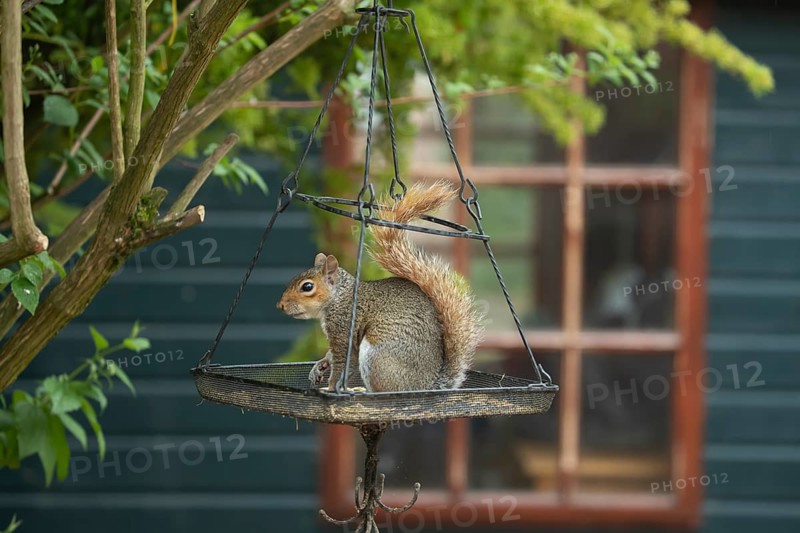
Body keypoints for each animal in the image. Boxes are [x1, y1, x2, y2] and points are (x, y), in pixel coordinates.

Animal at [276, 181, 483, 393]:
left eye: (307, 287)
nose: (280, 306)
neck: (339, 297)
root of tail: (425, 386)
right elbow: (332, 357)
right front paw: (320, 366)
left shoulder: (343, 328)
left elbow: (342, 364)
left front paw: (330, 388)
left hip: (376, 357)